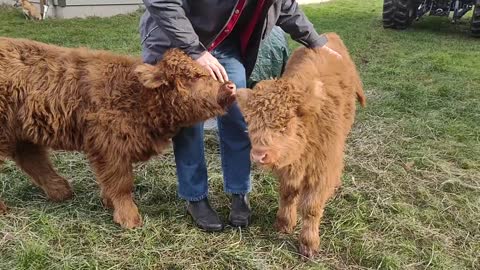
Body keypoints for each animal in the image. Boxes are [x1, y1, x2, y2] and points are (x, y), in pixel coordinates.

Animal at [0, 37, 236, 228]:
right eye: (192, 77)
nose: (230, 86)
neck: (137, 96)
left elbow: (109, 181)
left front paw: (107, 202)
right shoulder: (110, 146)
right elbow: (121, 183)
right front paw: (129, 219)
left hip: (21, 134)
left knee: (33, 160)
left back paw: (62, 192)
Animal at [237, 32, 368, 258]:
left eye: (284, 126)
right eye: (251, 124)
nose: (259, 155)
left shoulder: (321, 170)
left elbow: (311, 208)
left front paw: (308, 244)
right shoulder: (288, 170)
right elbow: (288, 194)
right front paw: (284, 223)